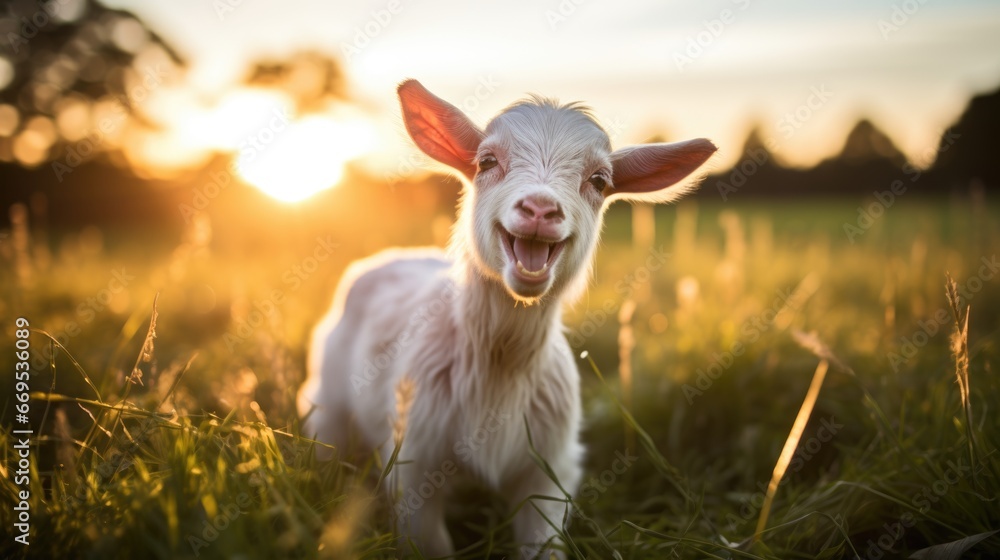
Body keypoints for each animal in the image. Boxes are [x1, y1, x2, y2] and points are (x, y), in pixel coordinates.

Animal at [297, 79, 716, 558]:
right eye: (487, 161)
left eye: (599, 180)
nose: (539, 209)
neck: (500, 362)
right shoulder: (413, 462)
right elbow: (430, 542)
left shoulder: (549, 472)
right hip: (329, 401)